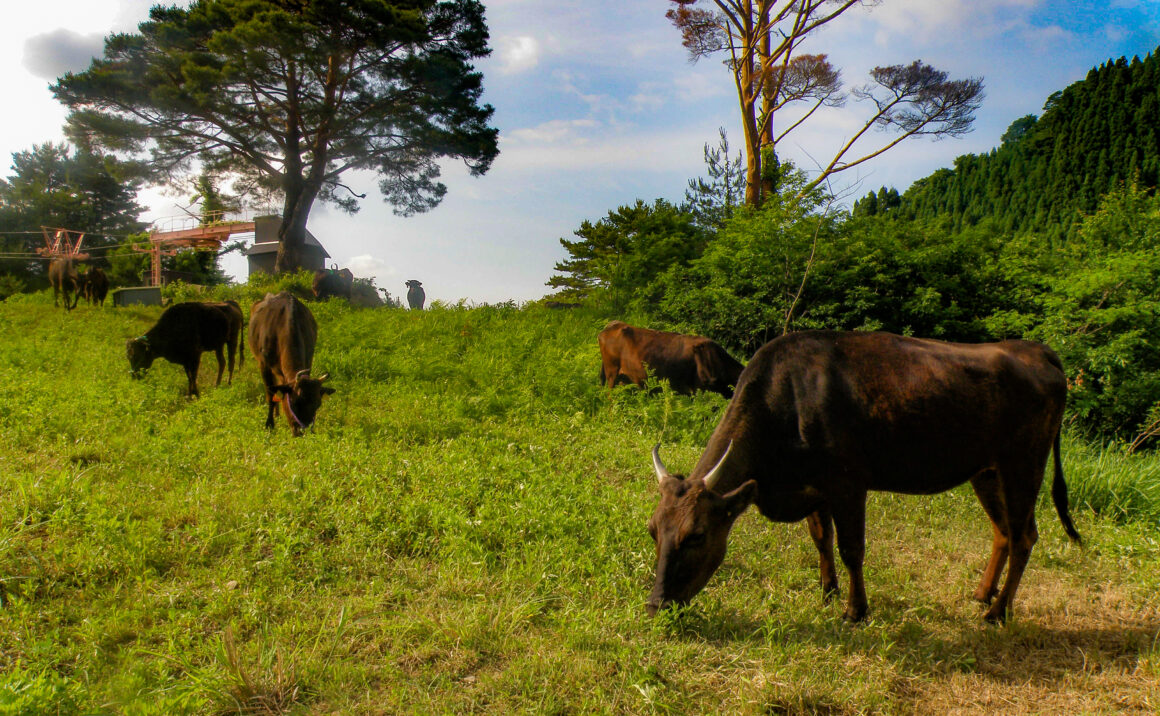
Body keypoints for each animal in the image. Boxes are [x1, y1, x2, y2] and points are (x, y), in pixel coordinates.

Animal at [247, 290, 334, 436]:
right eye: (295, 403)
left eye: (318, 404)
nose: (302, 431)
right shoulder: (264, 365)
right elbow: (270, 394)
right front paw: (269, 424)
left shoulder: (308, 361)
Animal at [649, 331, 1081, 622]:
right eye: (653, 530)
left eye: (697, 535)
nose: (656, 605)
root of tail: (1036, 349)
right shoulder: (814, 484)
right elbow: (821, 539)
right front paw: (827, 591)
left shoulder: (848, 483)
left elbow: (851, 549)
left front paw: (855, 610)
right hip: (986, 472)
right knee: (1003, 532)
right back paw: (982, 594)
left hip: (1023, 464)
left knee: (1024, 536)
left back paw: (998, 612)